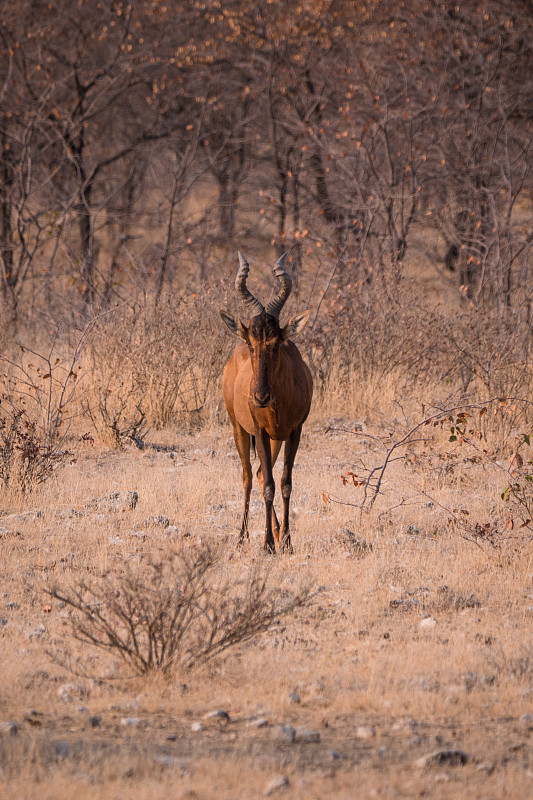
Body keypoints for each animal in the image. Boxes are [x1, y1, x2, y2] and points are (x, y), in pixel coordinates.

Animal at [219, 253, 312, 552]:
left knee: (261, 475)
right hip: (239, 428)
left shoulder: (295, 432)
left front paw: (286, 541)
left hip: (275, 439)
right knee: (249, 477)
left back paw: (275, 531)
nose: (260, 397)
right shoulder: (258, 432)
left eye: (276, 342)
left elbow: (284, 483)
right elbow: (270, 484)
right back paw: (242, 537)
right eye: (252, 342)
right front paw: (268, 545)